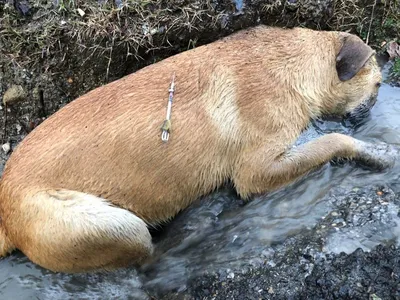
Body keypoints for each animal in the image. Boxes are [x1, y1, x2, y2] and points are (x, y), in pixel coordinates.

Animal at [0, 25, 394, 274]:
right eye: (377, 85)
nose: (374, 110)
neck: (293, 63)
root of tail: (6, 216)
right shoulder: (257, 172)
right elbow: (331, 141)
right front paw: (375, 152)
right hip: (119, 227)